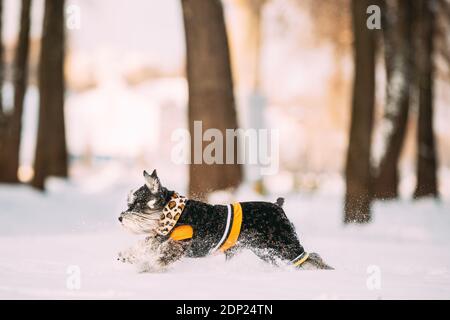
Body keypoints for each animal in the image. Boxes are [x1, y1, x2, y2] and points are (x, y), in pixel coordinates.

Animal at [118, 169, 332, 272]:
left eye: (138, 203)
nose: (120, 217)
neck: (177, 214)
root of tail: (277, 206)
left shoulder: (178, 245)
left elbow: (160, 257)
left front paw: (146, 267)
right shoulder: (161, 236)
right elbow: (146, 244)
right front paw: (128, 255)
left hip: (286, 246)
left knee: (311, 258)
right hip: (267, 252)